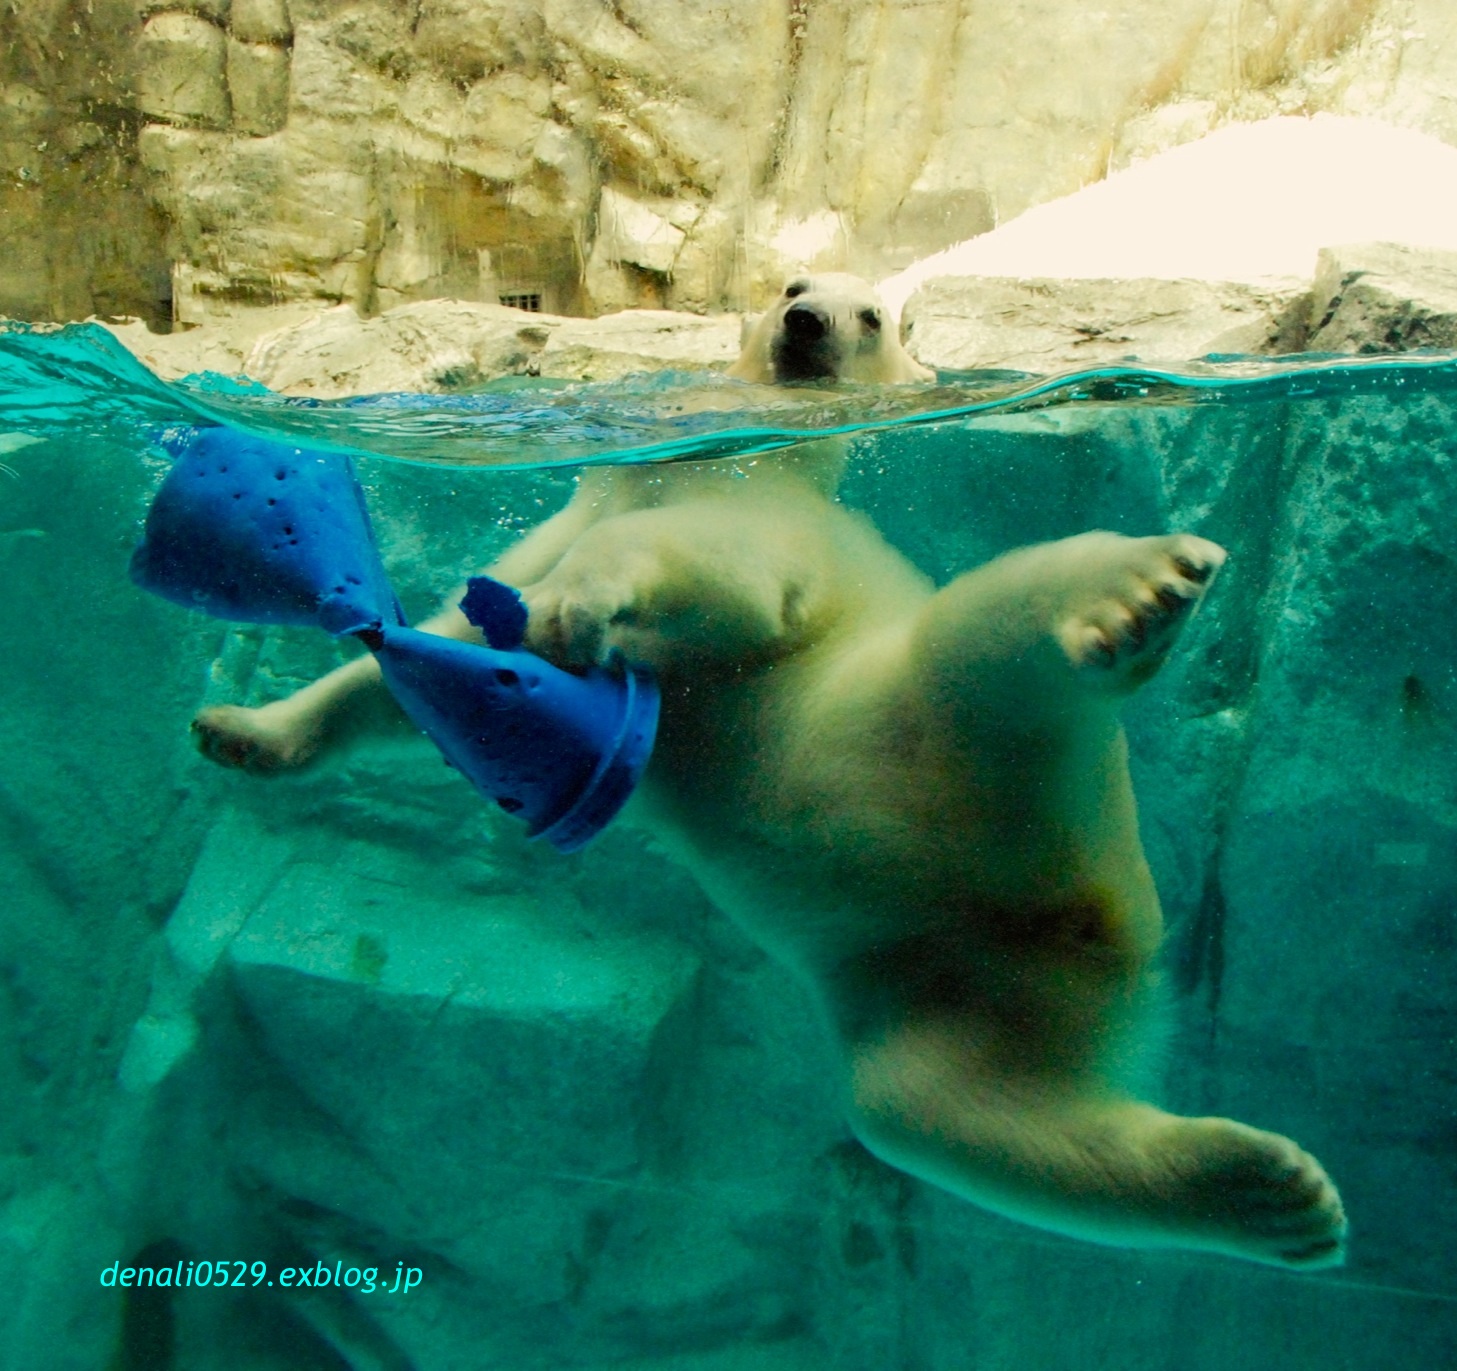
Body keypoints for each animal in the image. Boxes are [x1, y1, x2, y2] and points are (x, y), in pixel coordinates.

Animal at [193, 272, 1340, 1270]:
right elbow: (416, 669)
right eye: (791, 285)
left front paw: (573, 610)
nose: (807, 325)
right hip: (933, 978)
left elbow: (715, 574)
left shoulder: (755, 507)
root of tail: (1090, 916)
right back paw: (1262, 1189)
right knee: (949, 1105)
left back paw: (1140, 587)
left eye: (871, 313)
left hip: (927, 722)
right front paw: (241, 731)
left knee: (981, 636)